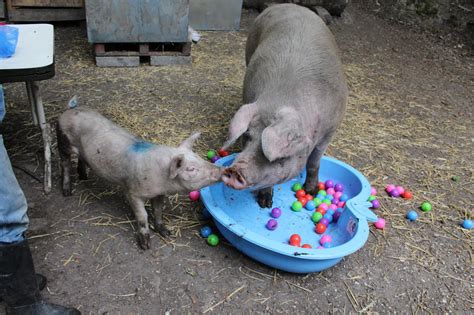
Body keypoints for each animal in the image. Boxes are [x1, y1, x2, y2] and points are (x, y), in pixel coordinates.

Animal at [57, 100, 222, 251]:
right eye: (191, 169)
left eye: (199, 157)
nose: (221, 170)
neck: (162, 176)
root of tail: (70, 110)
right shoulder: (133, 193)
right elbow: (143, 216)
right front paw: (146, 246)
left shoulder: (159, 193)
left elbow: (158, 210)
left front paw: (166, 233)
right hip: (63, 143)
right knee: (65, 165)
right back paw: (67, 192)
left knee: (81, 159)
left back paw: (84, 176)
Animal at [222, 4, 348, 210]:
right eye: (247, 136)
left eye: (279, 158)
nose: (235, 171)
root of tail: (289, 5)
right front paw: (265, 204)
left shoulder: (330, 130)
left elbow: (314, 162)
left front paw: (311, 192)